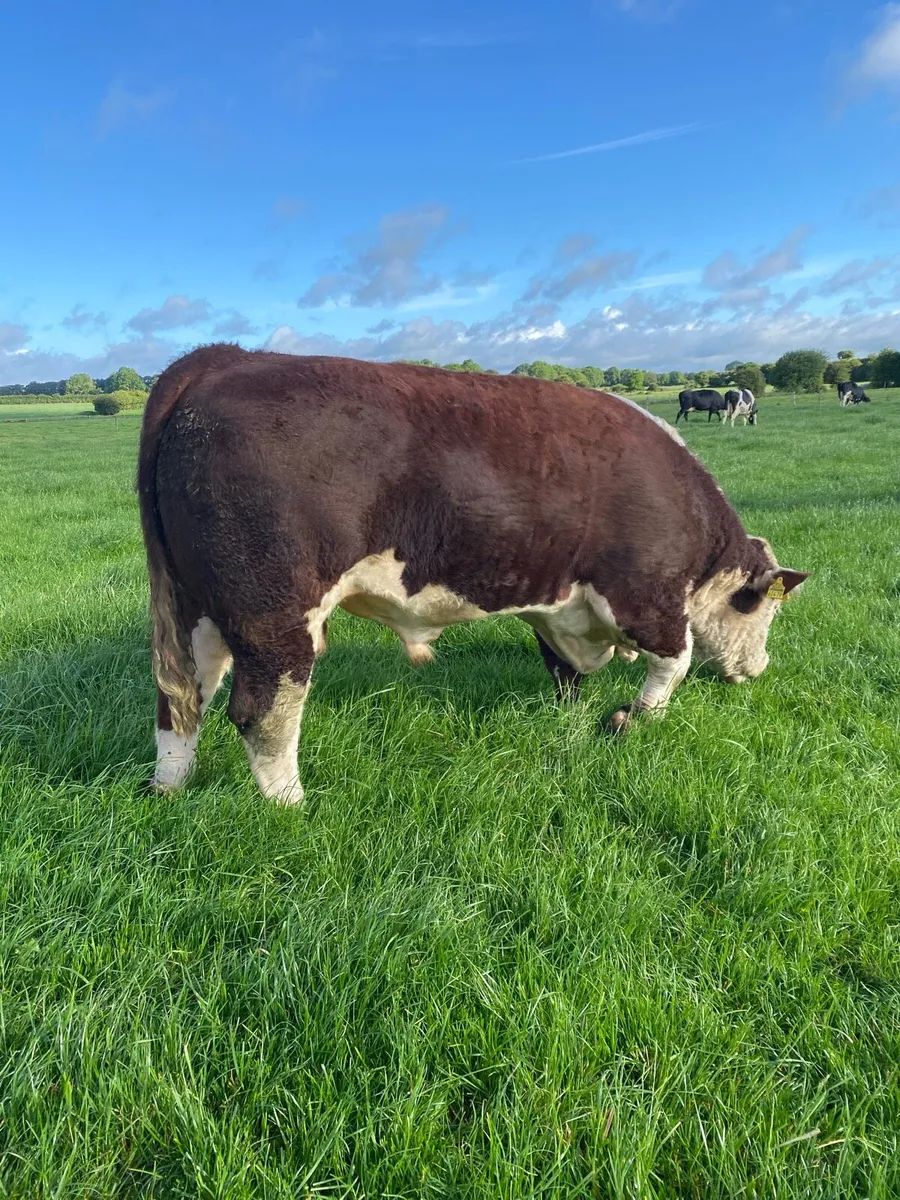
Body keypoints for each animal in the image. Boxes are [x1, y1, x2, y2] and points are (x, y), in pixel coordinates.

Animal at [139, 346, 809, 803]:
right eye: (766, 607)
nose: (758, 669)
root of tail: (223, 359)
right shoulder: (646, 596)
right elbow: (676, 660)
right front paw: (635, 719)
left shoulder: (559, 603)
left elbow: (563, 670)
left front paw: (570, 719)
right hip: (274, 616)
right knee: (262, 712)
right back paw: (291, 804)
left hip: (198, 608)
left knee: (182, 698)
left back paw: (170, 788)